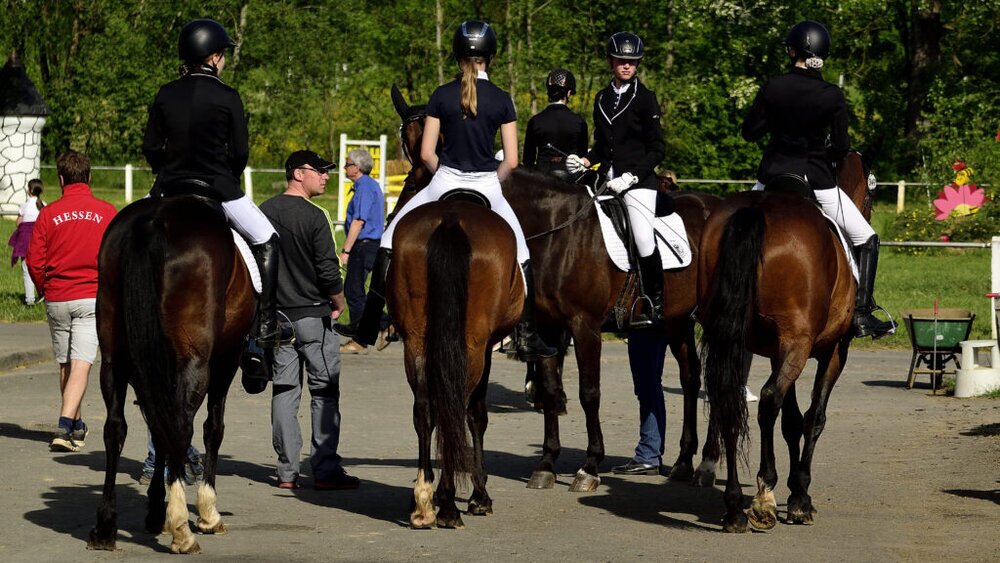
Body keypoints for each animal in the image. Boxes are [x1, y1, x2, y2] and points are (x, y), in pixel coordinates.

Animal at [87, 196, 256, 553]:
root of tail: (154, 219)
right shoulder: (225, 360)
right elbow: (212, 429)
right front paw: (205, 513)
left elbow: (156, 428)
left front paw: (154, 509)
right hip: (197, 361)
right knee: (181, 425)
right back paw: (182, 529)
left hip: (115, 360)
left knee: (117, 428)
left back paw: (106, 526)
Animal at [389, 200, 523, 528]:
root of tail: (450, 219)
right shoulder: (486, 348)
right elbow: (476, 415)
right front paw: (479, 496)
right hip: (472, 345)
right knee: (455, 406)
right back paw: (449, 505)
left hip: (416, 341)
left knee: (426, 410)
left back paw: (424, 500)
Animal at [390, 86, 722, 492]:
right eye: (407, 145)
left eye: (440, 143)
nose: (401, 215)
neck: (556, 228)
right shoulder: (548, 327)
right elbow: (549, 391)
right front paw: (547, 463)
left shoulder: (585, 326)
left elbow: (589, 393)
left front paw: (590, 466)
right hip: (677, 321)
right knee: (691, 378)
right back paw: (684, 462)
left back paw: (706, 463)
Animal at [697, 152, 873, 532]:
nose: (867, 211)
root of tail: (756, 211)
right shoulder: (831, 351)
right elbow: (813, 418)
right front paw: (800, 497)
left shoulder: (780, 351)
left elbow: (790, 421)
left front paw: (794, 491)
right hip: (799, 344)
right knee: (767, 400)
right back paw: (763, 496)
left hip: (734, 339)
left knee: (729, 401)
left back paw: (734, 507)